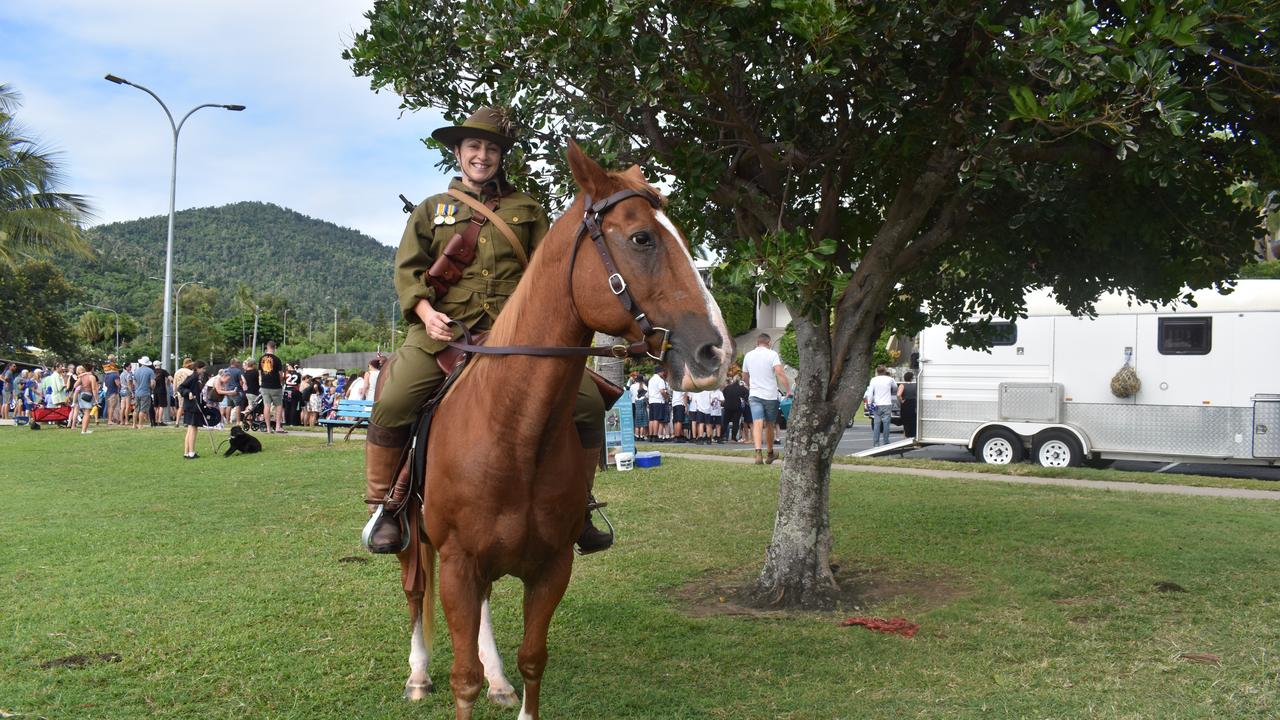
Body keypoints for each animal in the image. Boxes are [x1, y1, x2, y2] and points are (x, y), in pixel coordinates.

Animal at [389, 141, 732, 717]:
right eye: (642, 238)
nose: (717, 353)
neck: (512, 430)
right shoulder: (458, 563)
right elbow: (462, 678)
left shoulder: (551, 567)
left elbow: (533, 659)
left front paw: (507, 681)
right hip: (417, 536)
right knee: (414, 590)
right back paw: (417, 674)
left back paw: (497, 678)